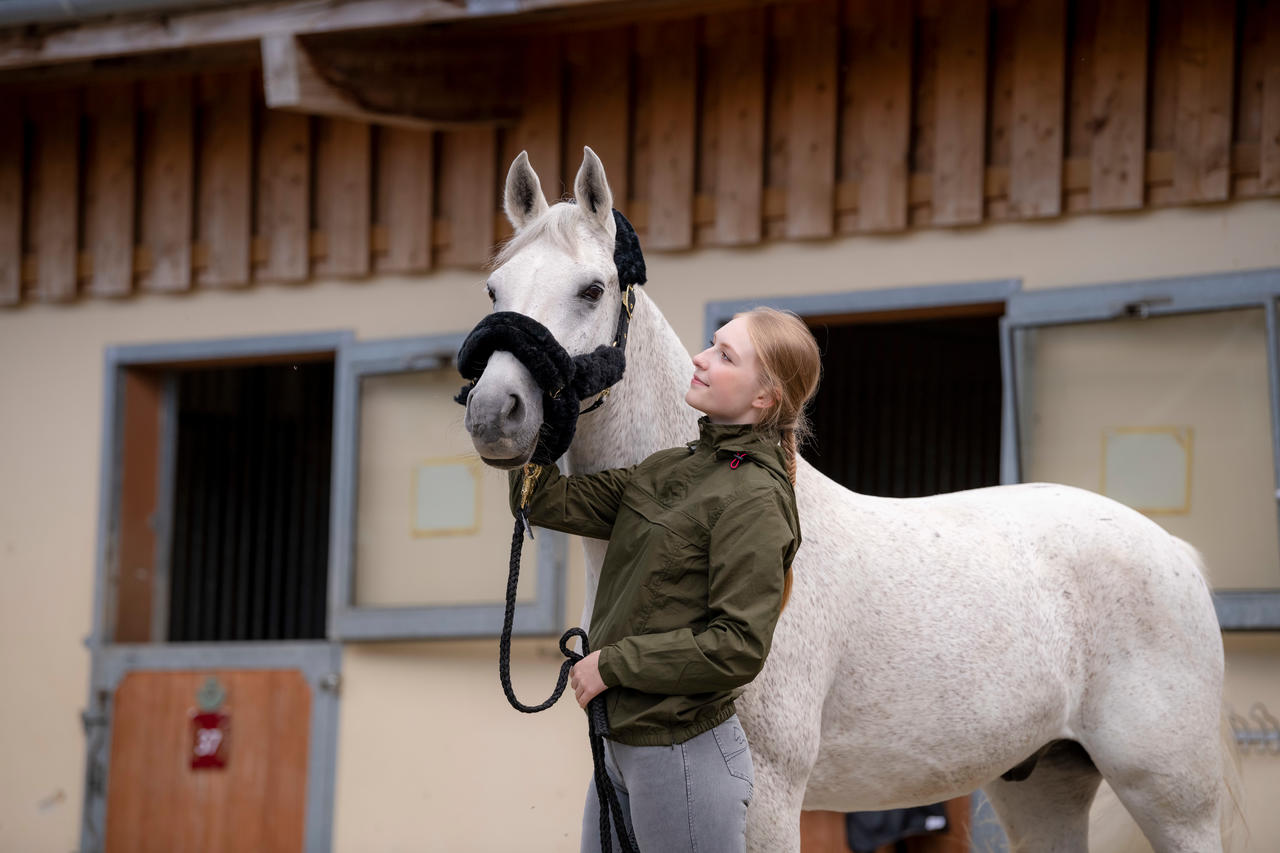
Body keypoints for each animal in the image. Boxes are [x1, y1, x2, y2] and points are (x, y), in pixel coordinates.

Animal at [465, 149, 1233, 850]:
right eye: (495, 291)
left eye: (592, 289)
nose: (494, 413)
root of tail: (1172, 550)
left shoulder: (771, 799)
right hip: (1042, 785)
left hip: (1175, 799)